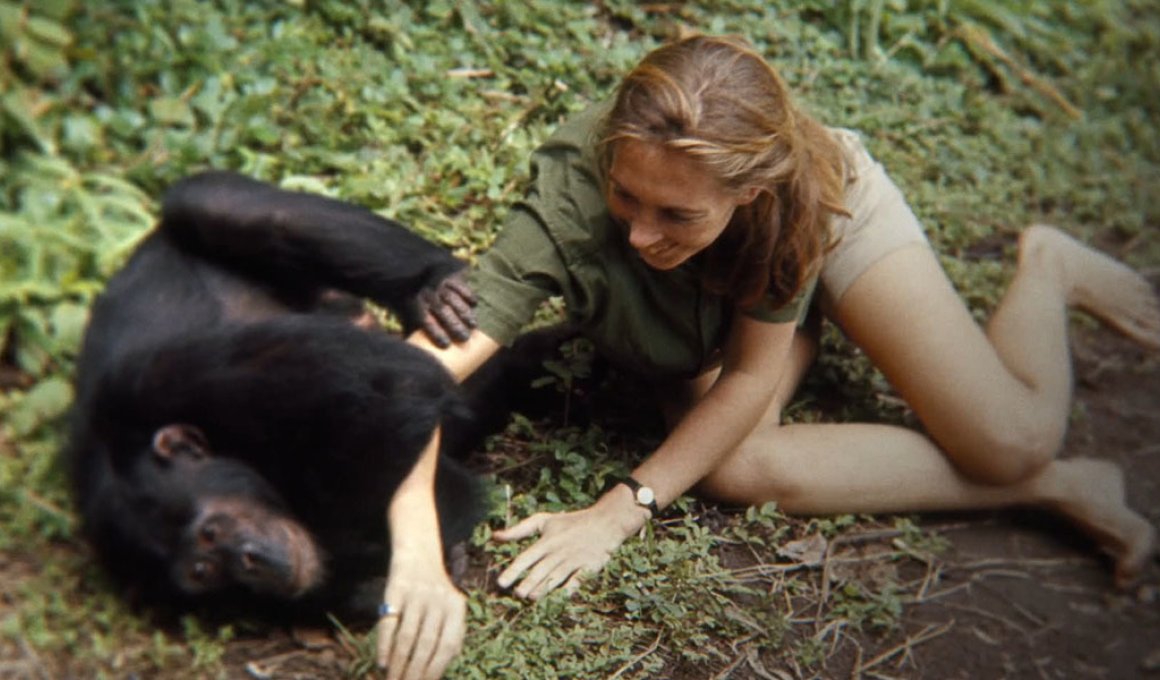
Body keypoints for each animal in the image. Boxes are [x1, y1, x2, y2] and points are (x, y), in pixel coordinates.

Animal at [63, 169, 526, 612]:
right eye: (203, 572)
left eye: (211, 531)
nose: (249, 562)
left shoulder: (175, 378)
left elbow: (391, 393)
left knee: (218, 204)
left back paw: (432, 289)